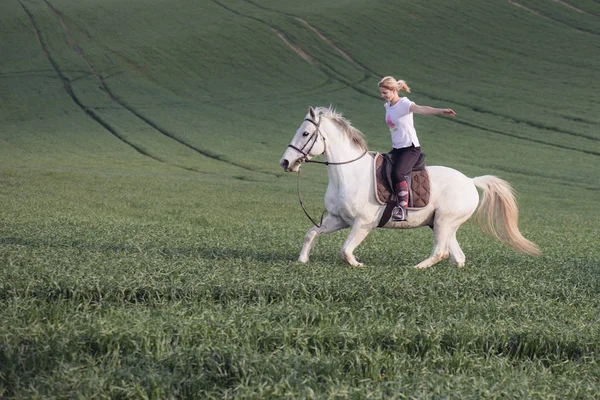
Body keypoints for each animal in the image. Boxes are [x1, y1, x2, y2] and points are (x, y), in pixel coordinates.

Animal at [278, 106, 540, 268]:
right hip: (442, 224)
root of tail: (470, 180)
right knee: (457, 256)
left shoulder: (363, 223)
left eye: (306, 133)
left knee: (442, 252)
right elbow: (311, 233)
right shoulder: (338, 219)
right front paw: (302, 261)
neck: (347, 174)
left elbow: (345, 250)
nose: (286, 162)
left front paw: (358, 264)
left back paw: (416, 268)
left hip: (445, 221)